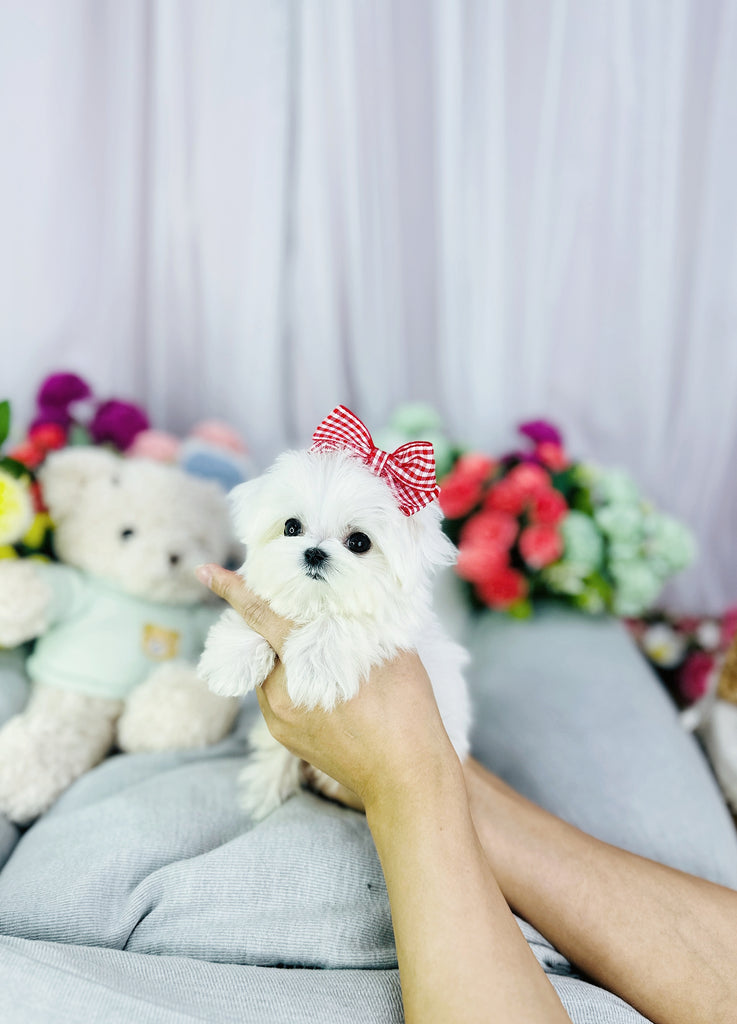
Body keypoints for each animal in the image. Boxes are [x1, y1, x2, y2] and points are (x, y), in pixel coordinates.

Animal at [198, 405, 468, 815]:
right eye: (291, 527)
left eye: (358, 542)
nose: (314, 552)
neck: (316, 603)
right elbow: (258, 610)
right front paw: (231, 660)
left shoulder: (391, 625)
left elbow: (347, 622)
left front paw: (315, 667)